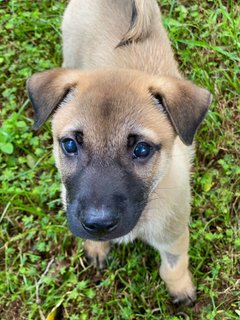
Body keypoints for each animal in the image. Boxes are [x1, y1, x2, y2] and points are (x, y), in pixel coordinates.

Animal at [27, 0, 211, 306]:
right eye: (70, 145)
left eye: (141, 149)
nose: (98, 225)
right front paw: (96, 245)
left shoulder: (173, 234)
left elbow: (173, 266)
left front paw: (181, 290)